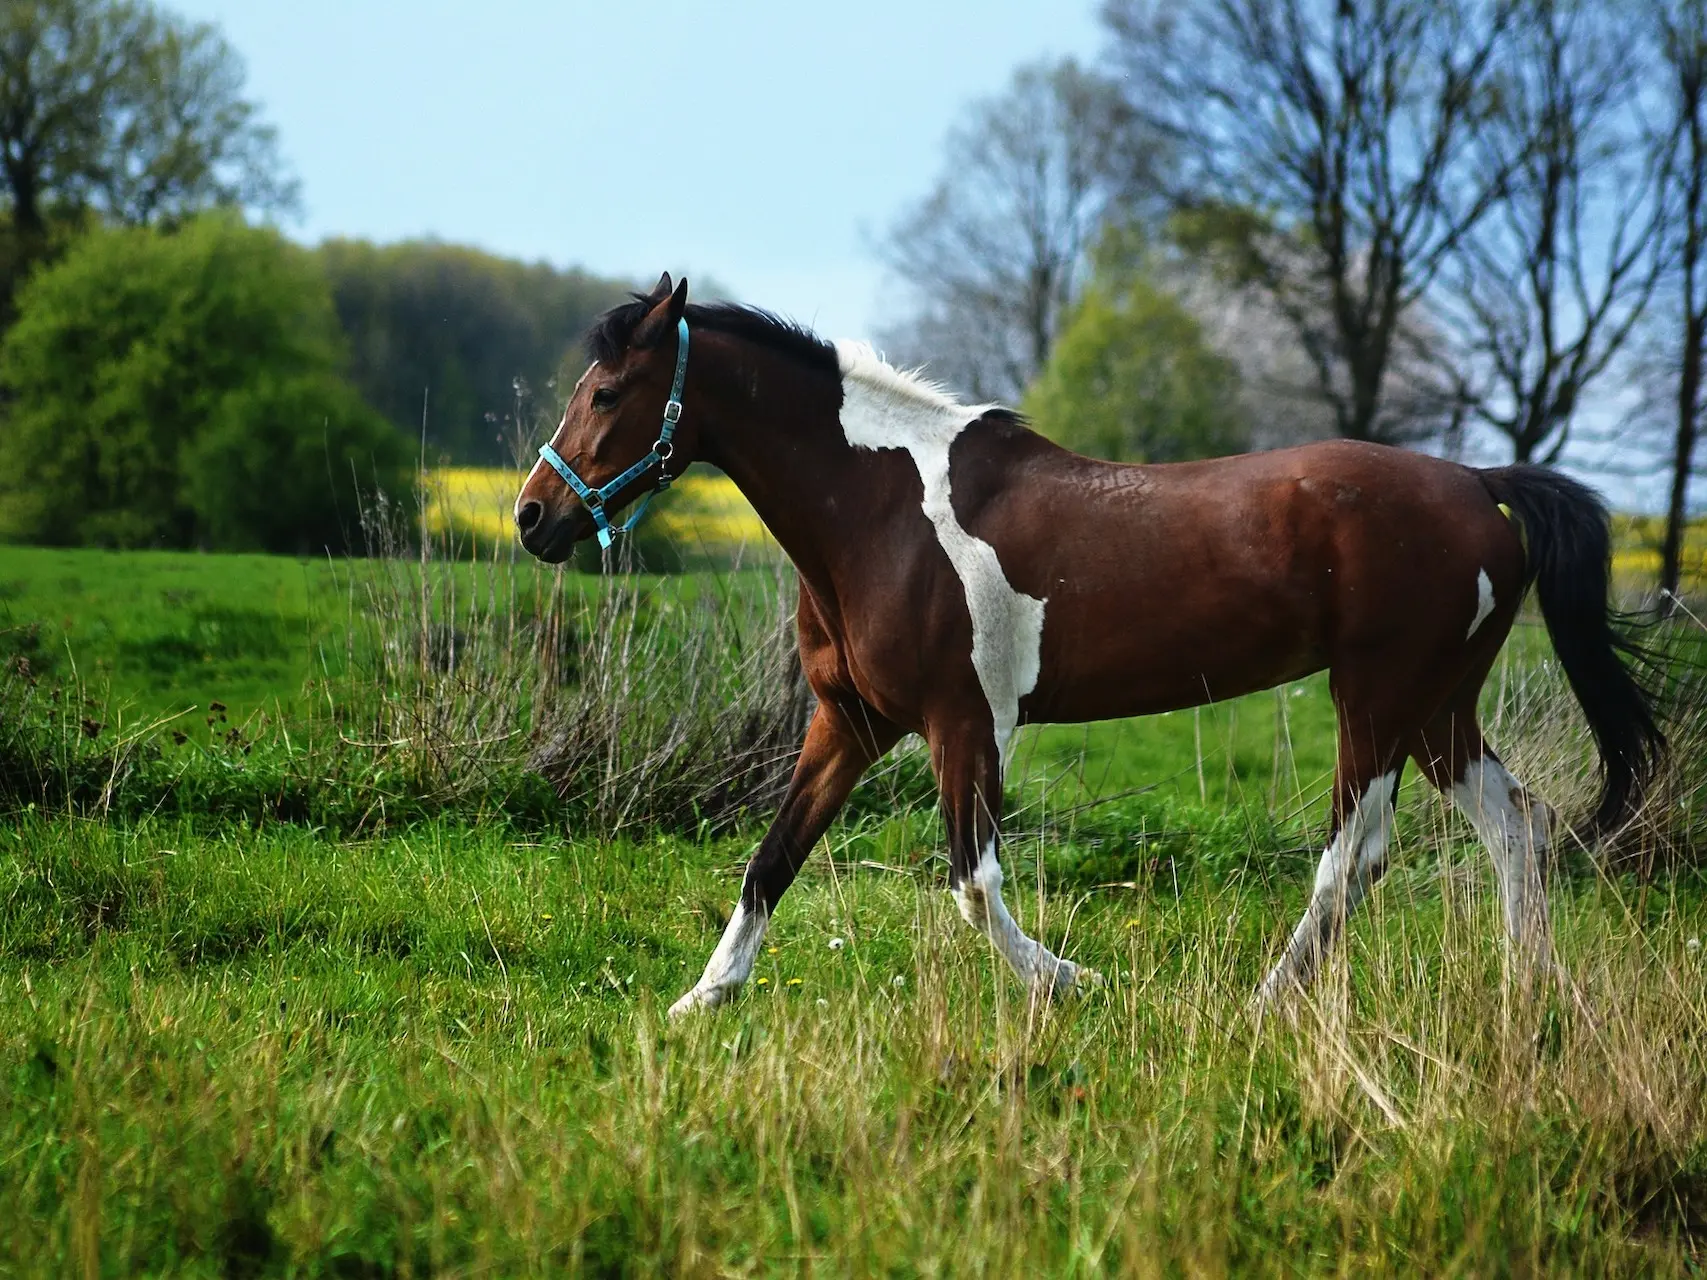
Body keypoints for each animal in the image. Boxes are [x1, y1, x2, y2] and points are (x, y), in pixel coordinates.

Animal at [512, 273, 1659, 1024]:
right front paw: (701, 999)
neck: (878, 511)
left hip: (1374, 701)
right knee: (1518, 828)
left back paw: (1266, 1002)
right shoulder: (851, 724)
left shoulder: (964, 724)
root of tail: (1475, 483)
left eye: (606, 393)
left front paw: (1074, 983)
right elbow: (771, 857)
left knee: (1354, 859)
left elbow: (973, 883)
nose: (532, 518)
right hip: (1436, 708)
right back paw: (1527, 994)